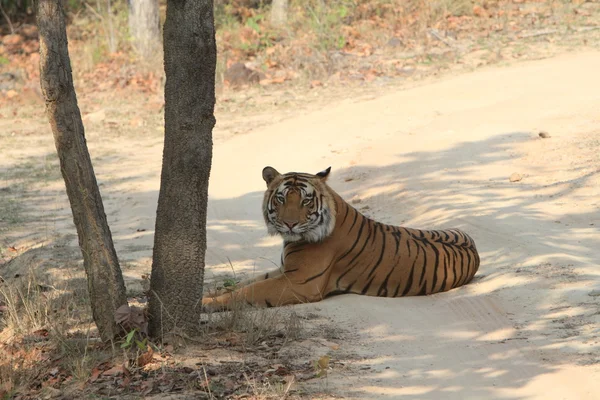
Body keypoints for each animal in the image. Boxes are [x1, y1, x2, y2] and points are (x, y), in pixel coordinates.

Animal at [204, 166, 480, 312]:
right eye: (281, 198)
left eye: (305, 200)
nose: (290, 224)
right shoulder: (285, 270)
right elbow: (245, 282)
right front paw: (209, 291)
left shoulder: (299, 282)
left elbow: (248, 291)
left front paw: (207, 303)